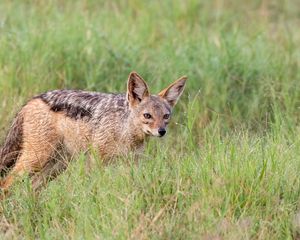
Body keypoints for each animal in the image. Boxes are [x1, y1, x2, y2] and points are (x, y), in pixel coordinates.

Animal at [0, 71, 186, 191]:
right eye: (147, 115)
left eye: (166, 116)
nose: (161, 131)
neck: (124, 130)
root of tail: (32, 100)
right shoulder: (96, 161)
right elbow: (96, 189)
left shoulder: (131, 164)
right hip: (36, 160)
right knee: (5, 185)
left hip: (55, 166)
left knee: (31, 189)